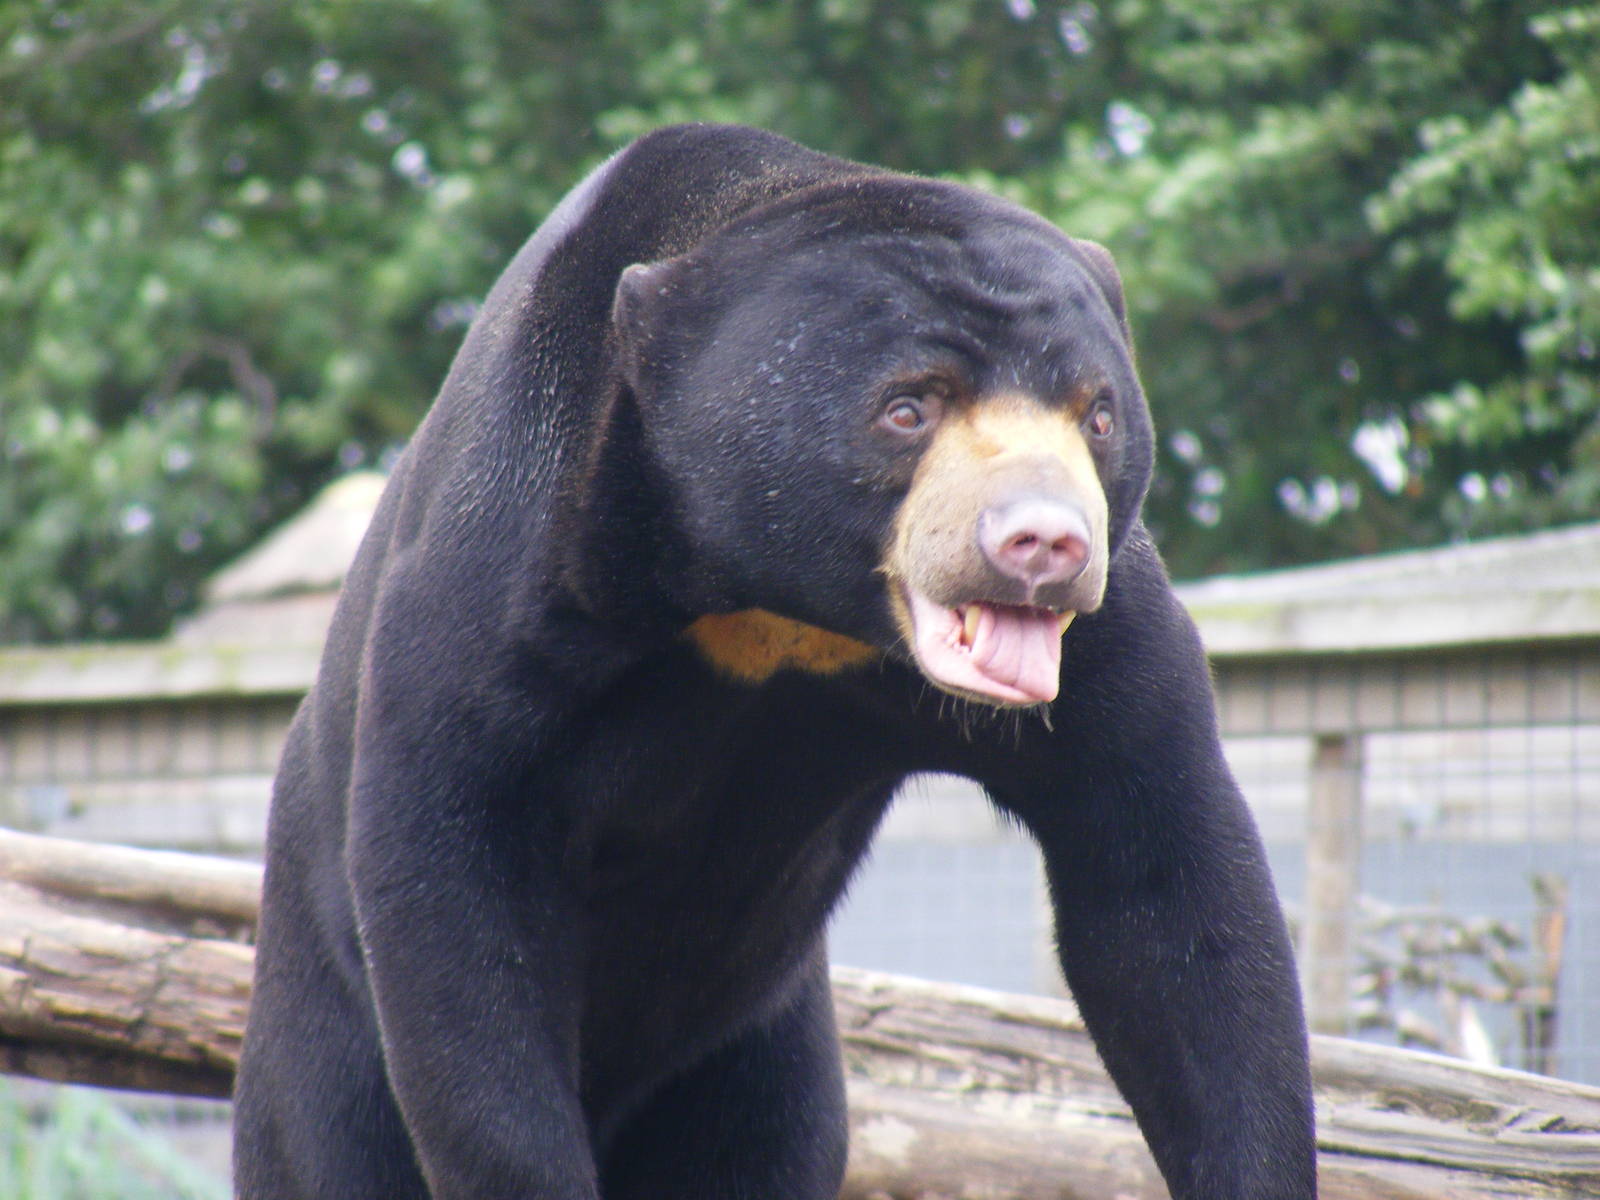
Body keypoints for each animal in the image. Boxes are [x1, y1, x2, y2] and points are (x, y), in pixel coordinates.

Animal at [233, 124, 1316, 1200]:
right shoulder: (506, 569)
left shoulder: (1106, 637)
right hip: (317, 1003)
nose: (1046, 544)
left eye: (1097, 415)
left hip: (761, 1046)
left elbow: (1163, 887)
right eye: (907, 408)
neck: (779, 602)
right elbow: (459, 879)